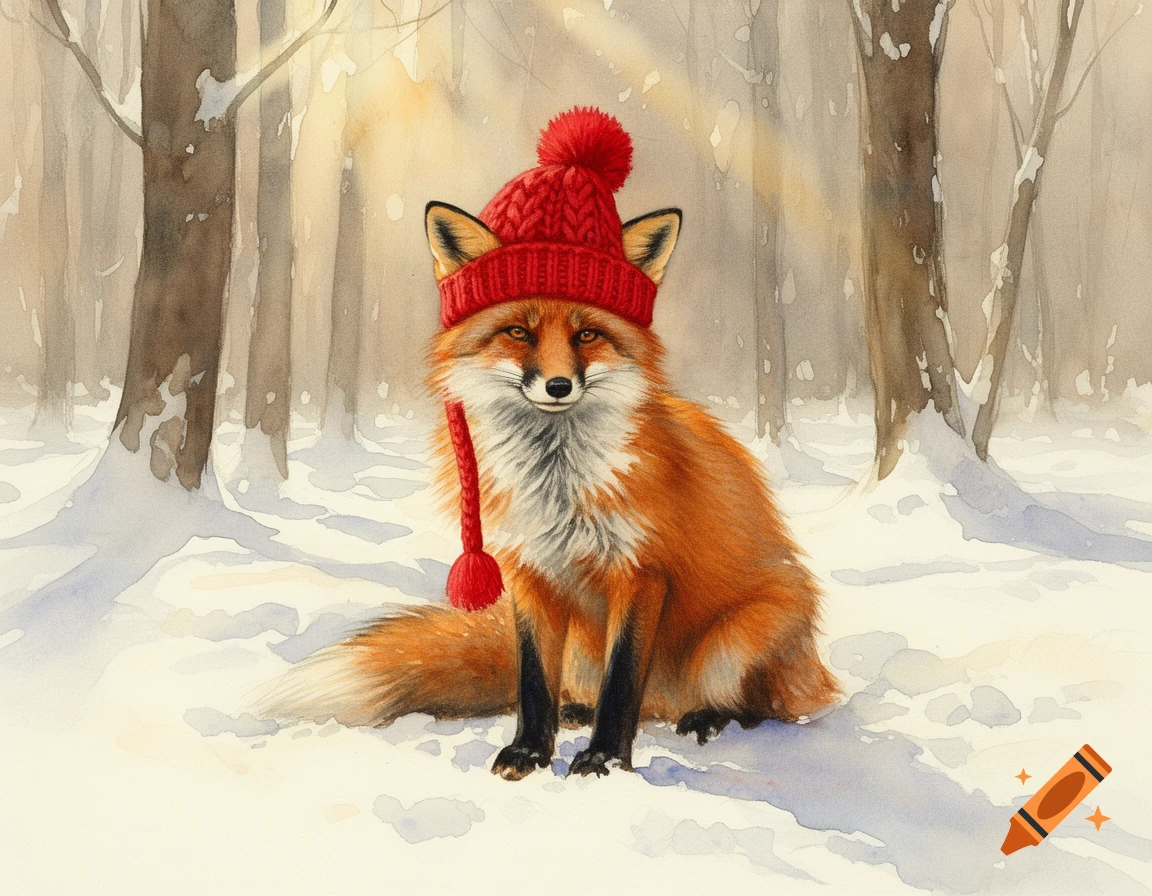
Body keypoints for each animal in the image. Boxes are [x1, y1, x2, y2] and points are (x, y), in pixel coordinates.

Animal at [262, 107, 839, 779]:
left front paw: (605, 761)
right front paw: (530, 751)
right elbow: (534, 679)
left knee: (766, 706)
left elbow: (623, 681)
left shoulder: (640, 573)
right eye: (518, 331)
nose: (559, 385)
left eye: (588, 334)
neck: (556, 480)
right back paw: (578, 713)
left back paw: (708, 718)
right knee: (610, 695)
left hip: (740, 636)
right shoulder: (528, 572)